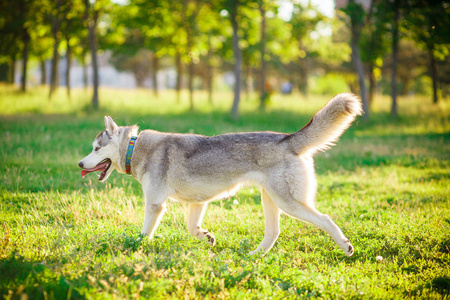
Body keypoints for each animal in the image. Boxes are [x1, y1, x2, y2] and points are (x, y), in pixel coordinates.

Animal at [79, 94, 362, 255]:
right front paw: (206, 237)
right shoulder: (197, 202)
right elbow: (192, 228)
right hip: (270, 200)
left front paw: (135, 247)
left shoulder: (155, 204)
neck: (134, 148)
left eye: (96, 148)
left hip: (288, 202)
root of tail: (288, 139)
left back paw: (345, 245)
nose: (80, 163)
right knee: (273, 232)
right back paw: (255, 256)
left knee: (325, 219)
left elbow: (144, 233)